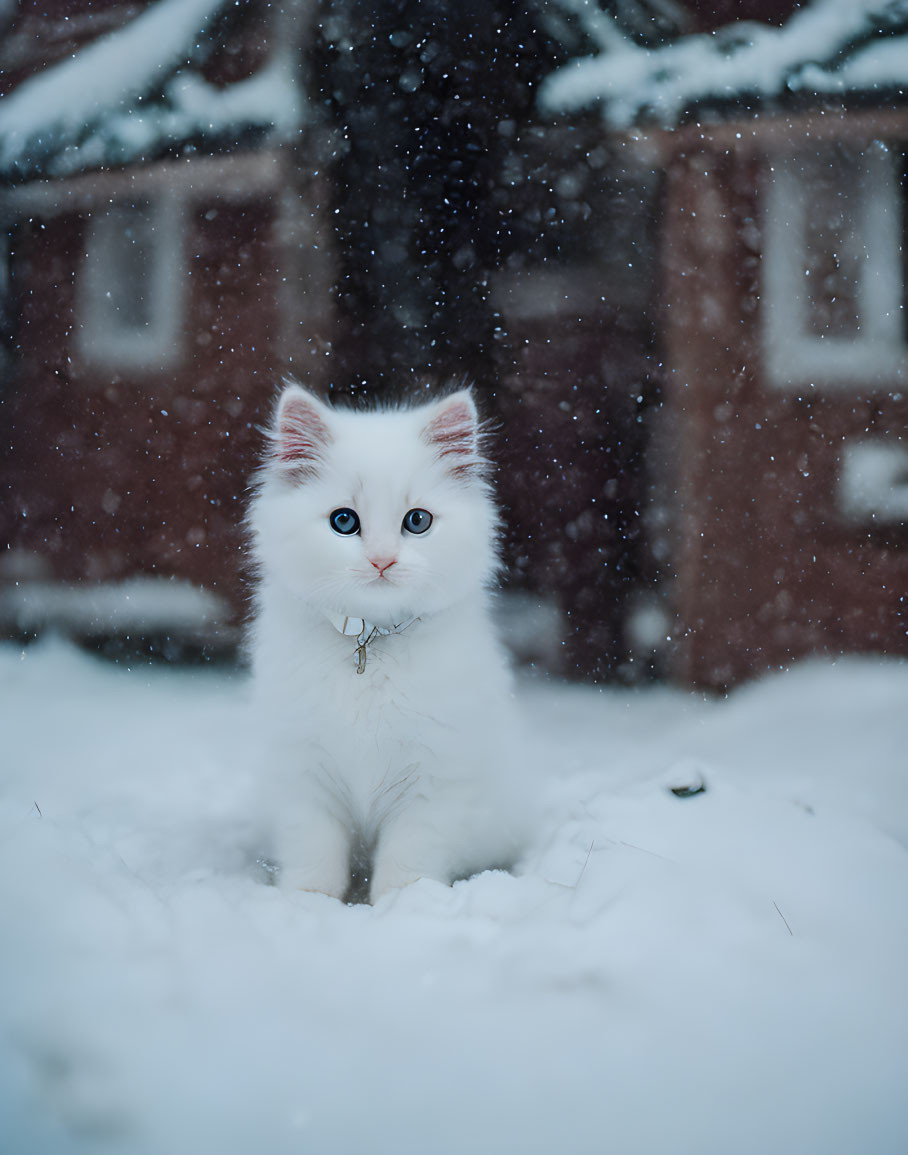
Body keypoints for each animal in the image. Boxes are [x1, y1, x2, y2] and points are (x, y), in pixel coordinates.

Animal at [243, 381, 526, 900]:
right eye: (343, 521)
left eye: (417, 521)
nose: (382, 560)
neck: (369, 644)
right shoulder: (302, 771)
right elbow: (314, 853)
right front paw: (308, 903)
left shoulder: (434, 778)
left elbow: (408, 858)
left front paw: (406, 905)